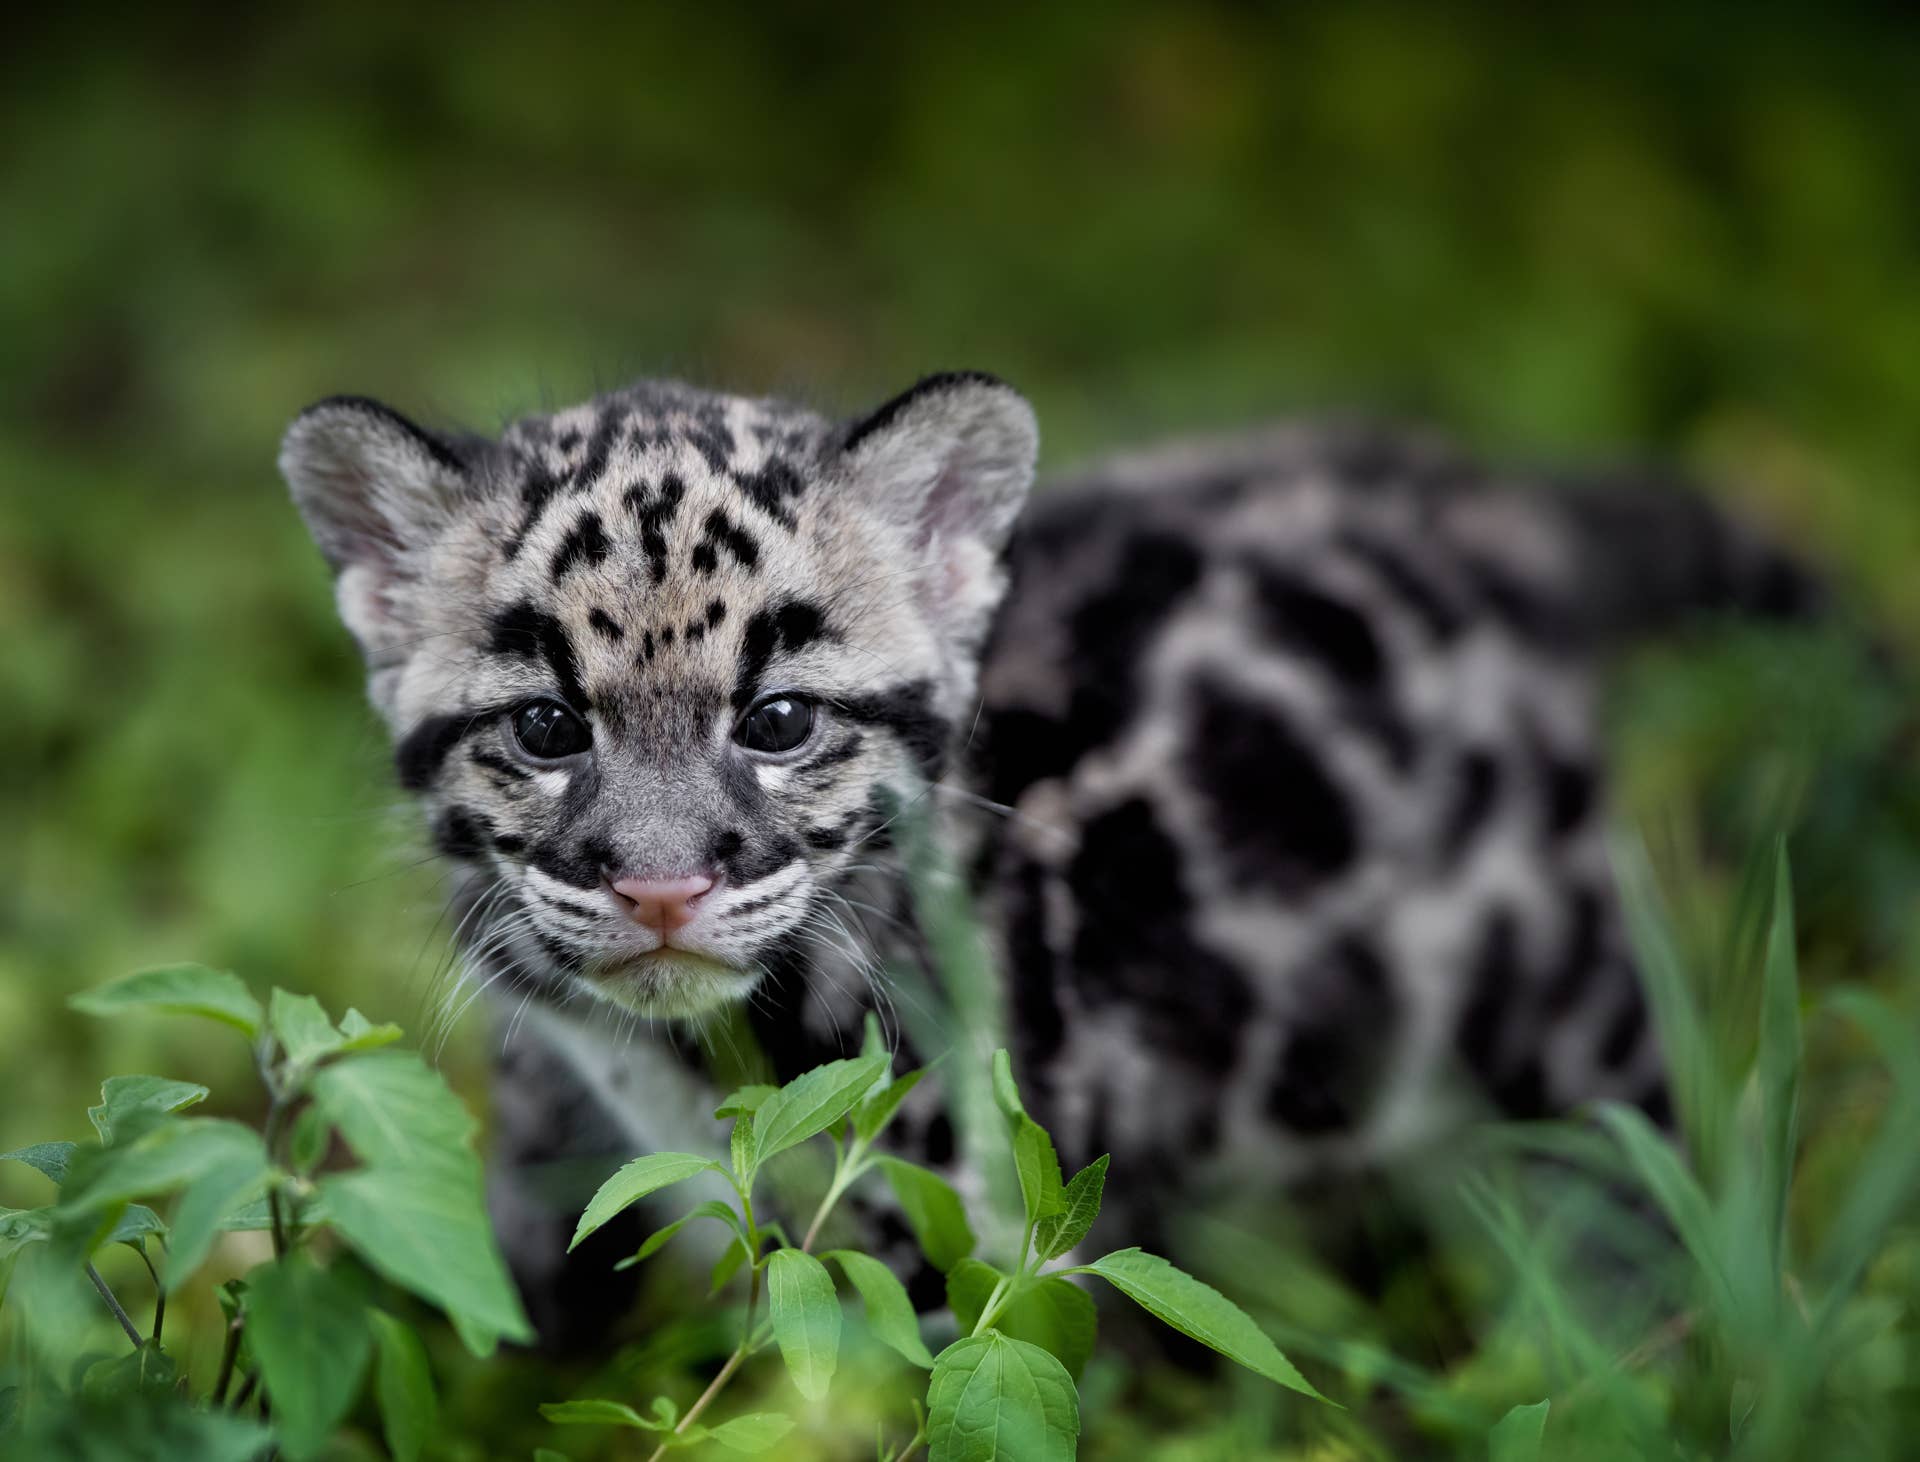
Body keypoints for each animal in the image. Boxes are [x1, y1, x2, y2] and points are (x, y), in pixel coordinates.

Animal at [278, 371, 1817, 1341]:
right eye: (546, 725)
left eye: (778, 720)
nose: (661, 886)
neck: (682, 1062)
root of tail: (1477, 507)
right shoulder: (554, 1135)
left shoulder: (956, 1238)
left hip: (1560, 1004)